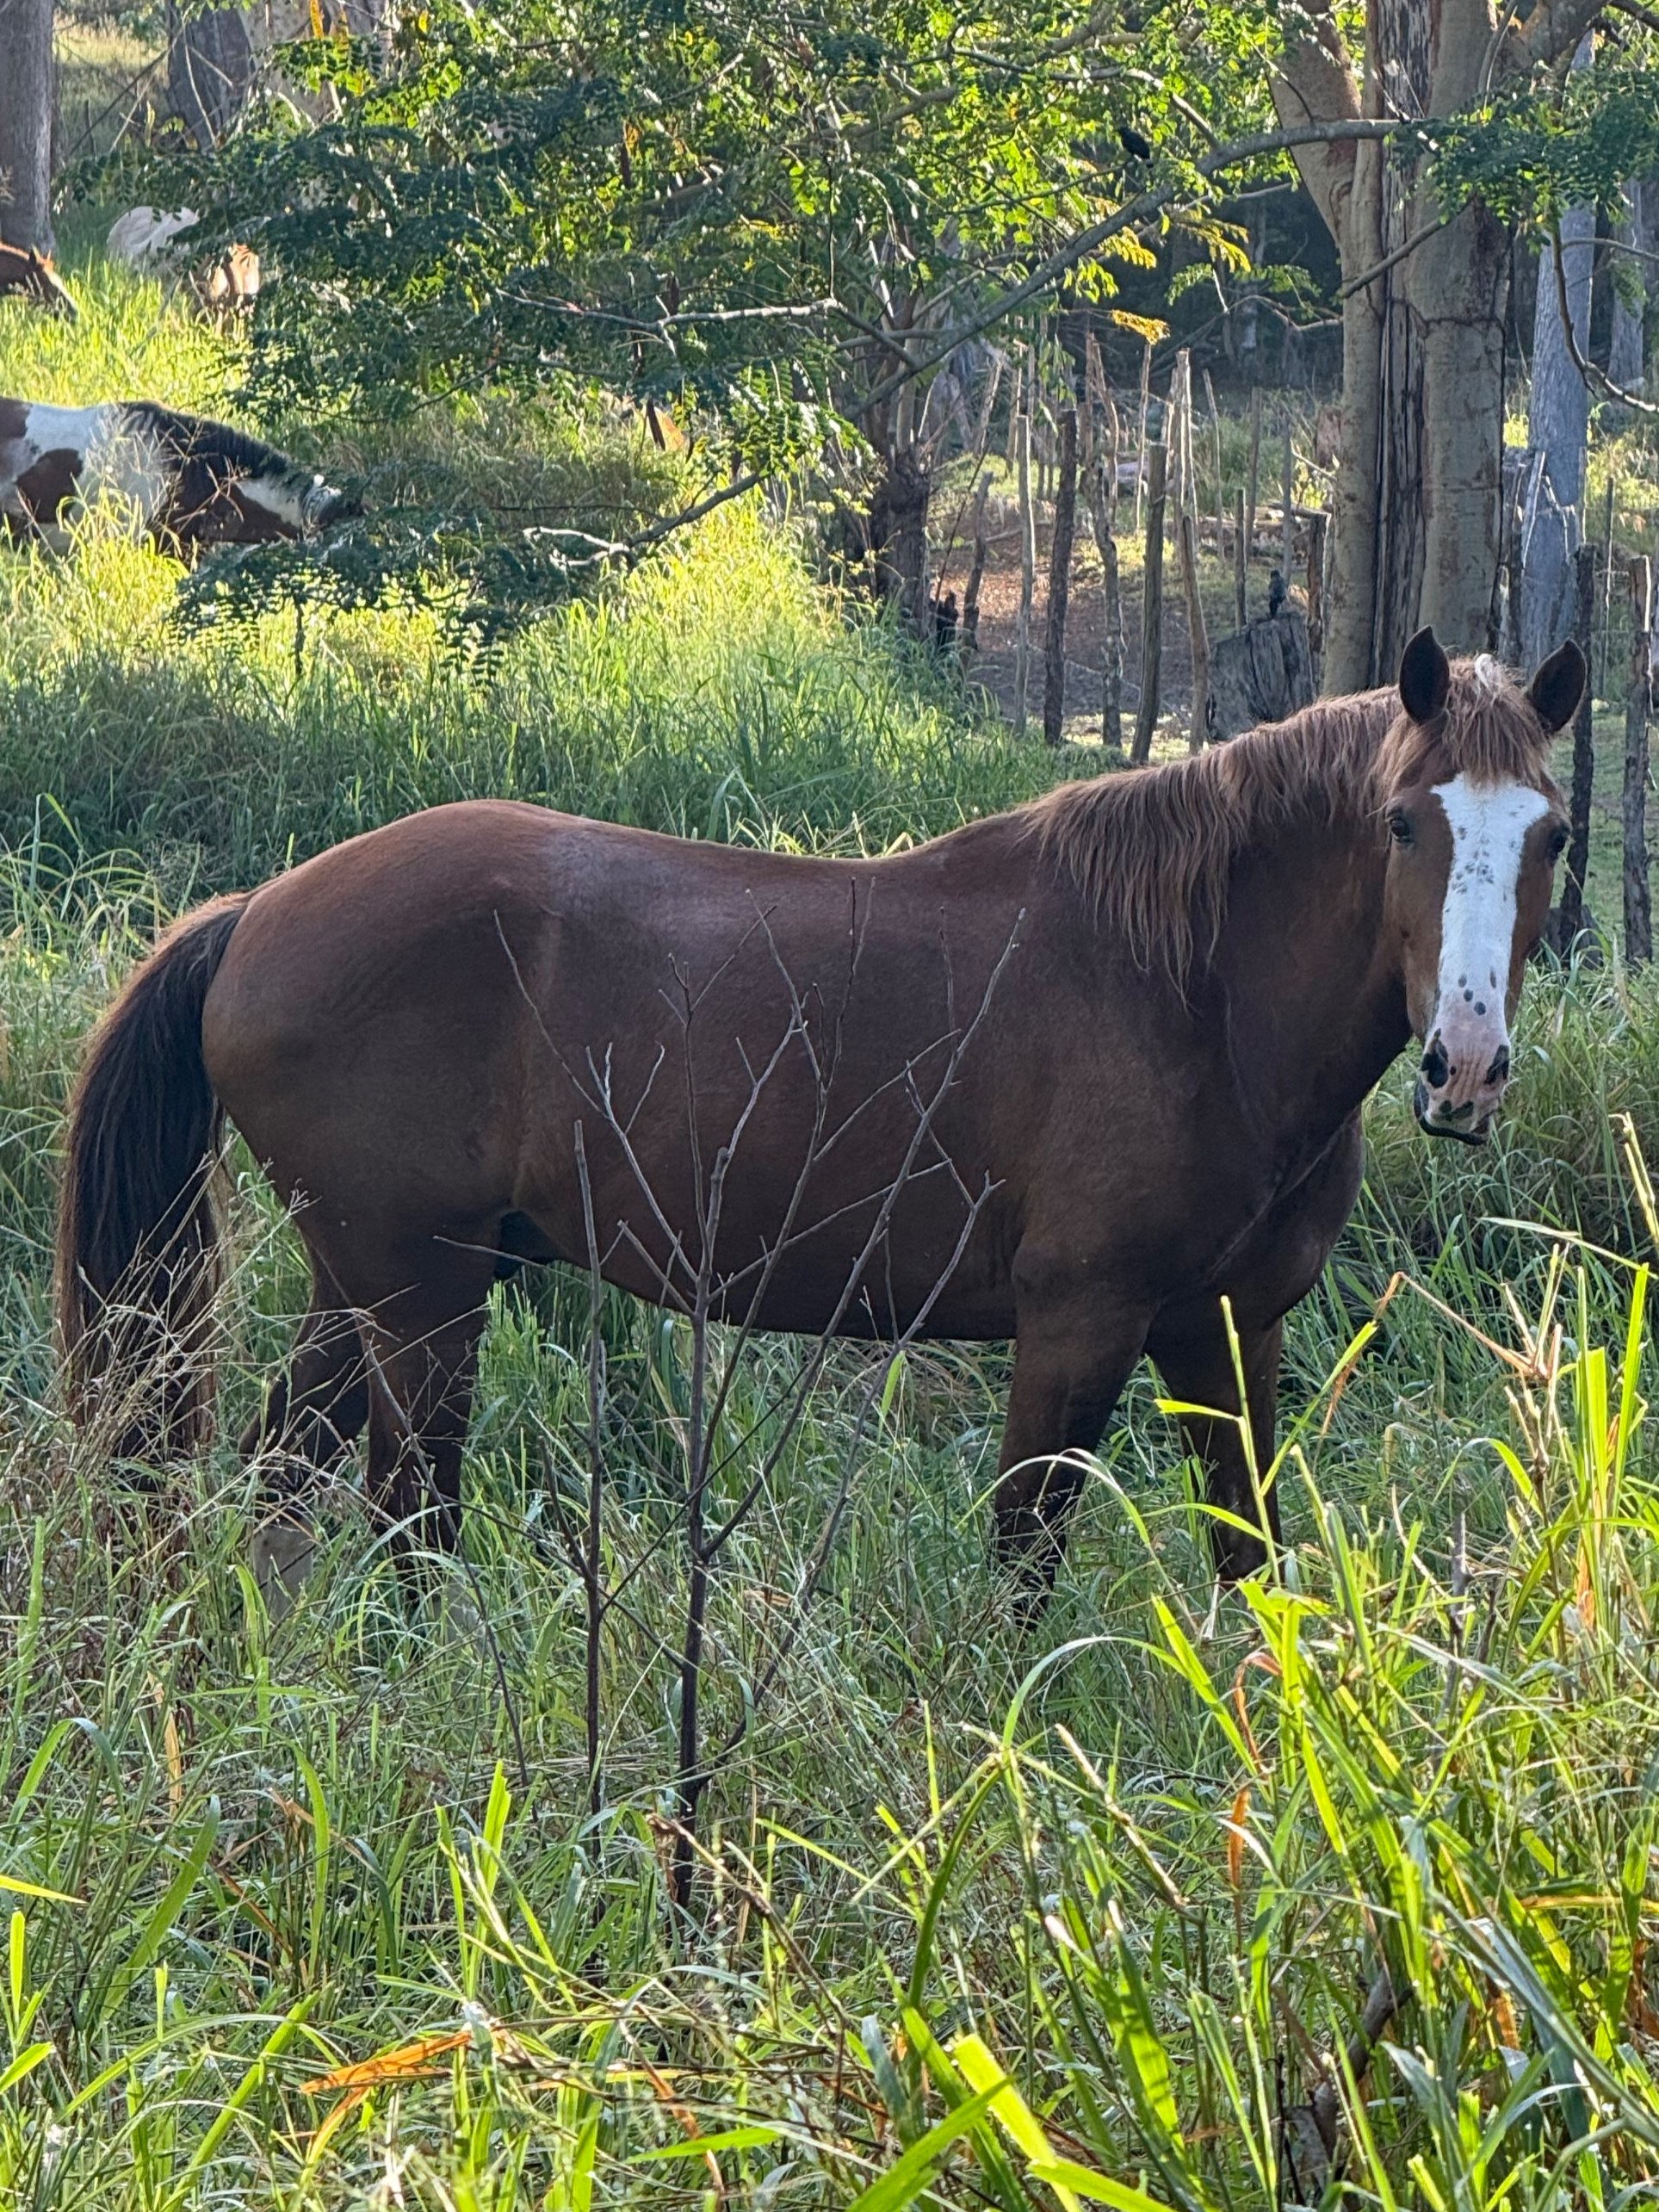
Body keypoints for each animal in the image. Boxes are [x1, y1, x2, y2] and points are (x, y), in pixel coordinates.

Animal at [55, 631, 1583, 1597]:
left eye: (1549, 835)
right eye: (1403, 821)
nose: (1462, 1065)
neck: (1190, 993)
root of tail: (260, 909)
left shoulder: (1224, 1331)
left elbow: (1249, 1565)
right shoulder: (1076, 1327)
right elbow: (1019, 1576)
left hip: (364, 1287)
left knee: (281, 1490)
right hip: (420, 1301)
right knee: (400, 1530)